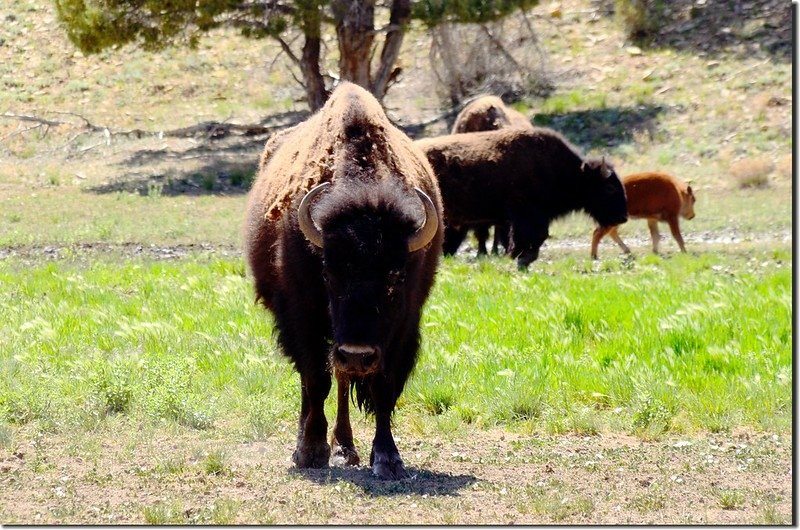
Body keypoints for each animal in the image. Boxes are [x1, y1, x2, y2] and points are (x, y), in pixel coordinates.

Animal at [244, 82, 444, 478]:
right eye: (328, 272)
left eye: (396, 276)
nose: (356, 353)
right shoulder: (302, 316)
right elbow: (314, 379)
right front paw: (311, 451)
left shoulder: (402, 325)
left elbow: (383, 386)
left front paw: (387, 458)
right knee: (317, 380)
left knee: (341, 377)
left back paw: (346, 447)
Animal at [416, 126, 628, 268]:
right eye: (610, 187)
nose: (623, 217)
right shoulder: (524, 214)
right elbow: (529, 236)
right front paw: (519, 256)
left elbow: (538, 237)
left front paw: (523, 258)